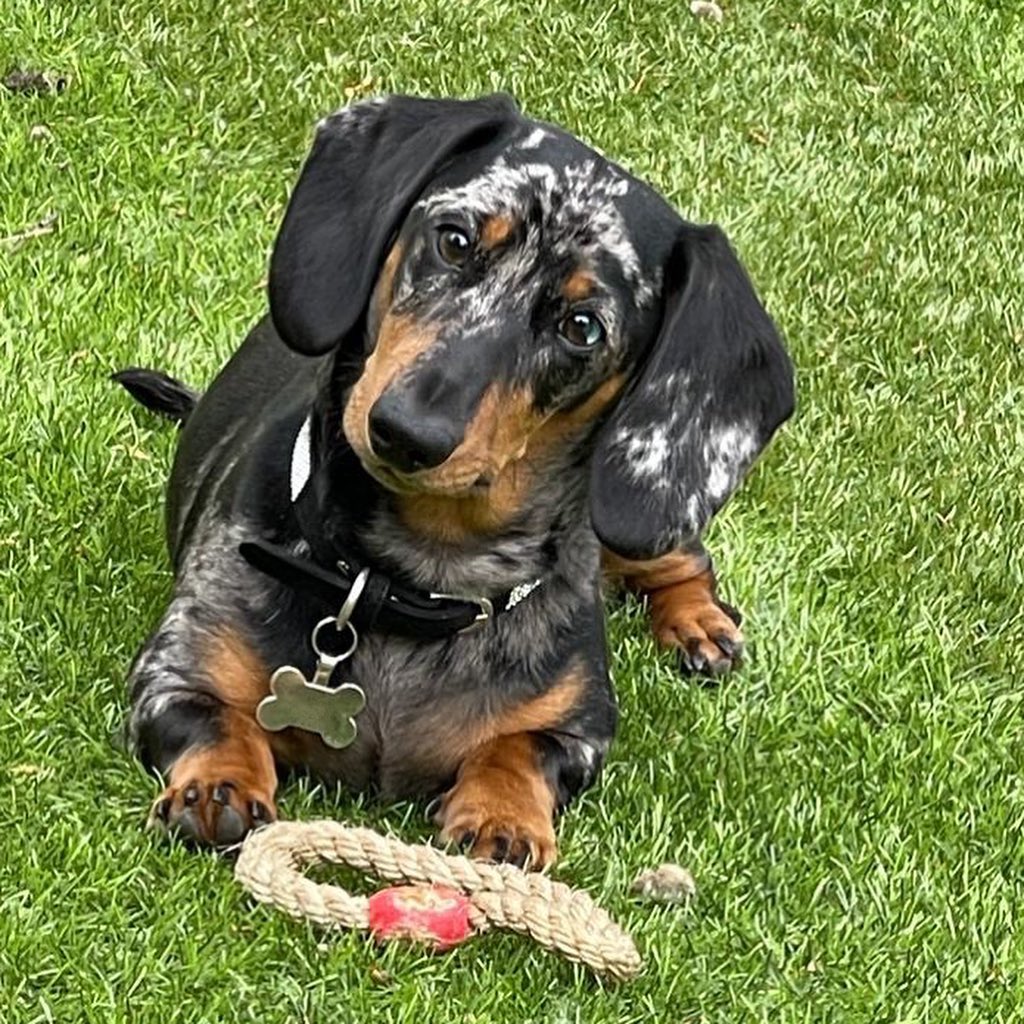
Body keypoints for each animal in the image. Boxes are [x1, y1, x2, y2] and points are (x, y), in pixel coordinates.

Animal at [116, 94, 793, 868]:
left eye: (582, 326)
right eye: (456, 240)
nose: (406, 432)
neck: (417, 579)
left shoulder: (581, 729)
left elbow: (521, 747)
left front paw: (502, 816)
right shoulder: (172, 670)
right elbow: (214, 716)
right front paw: (218, 784)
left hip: (629, 519)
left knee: (681, 555)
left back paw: (699, 624)